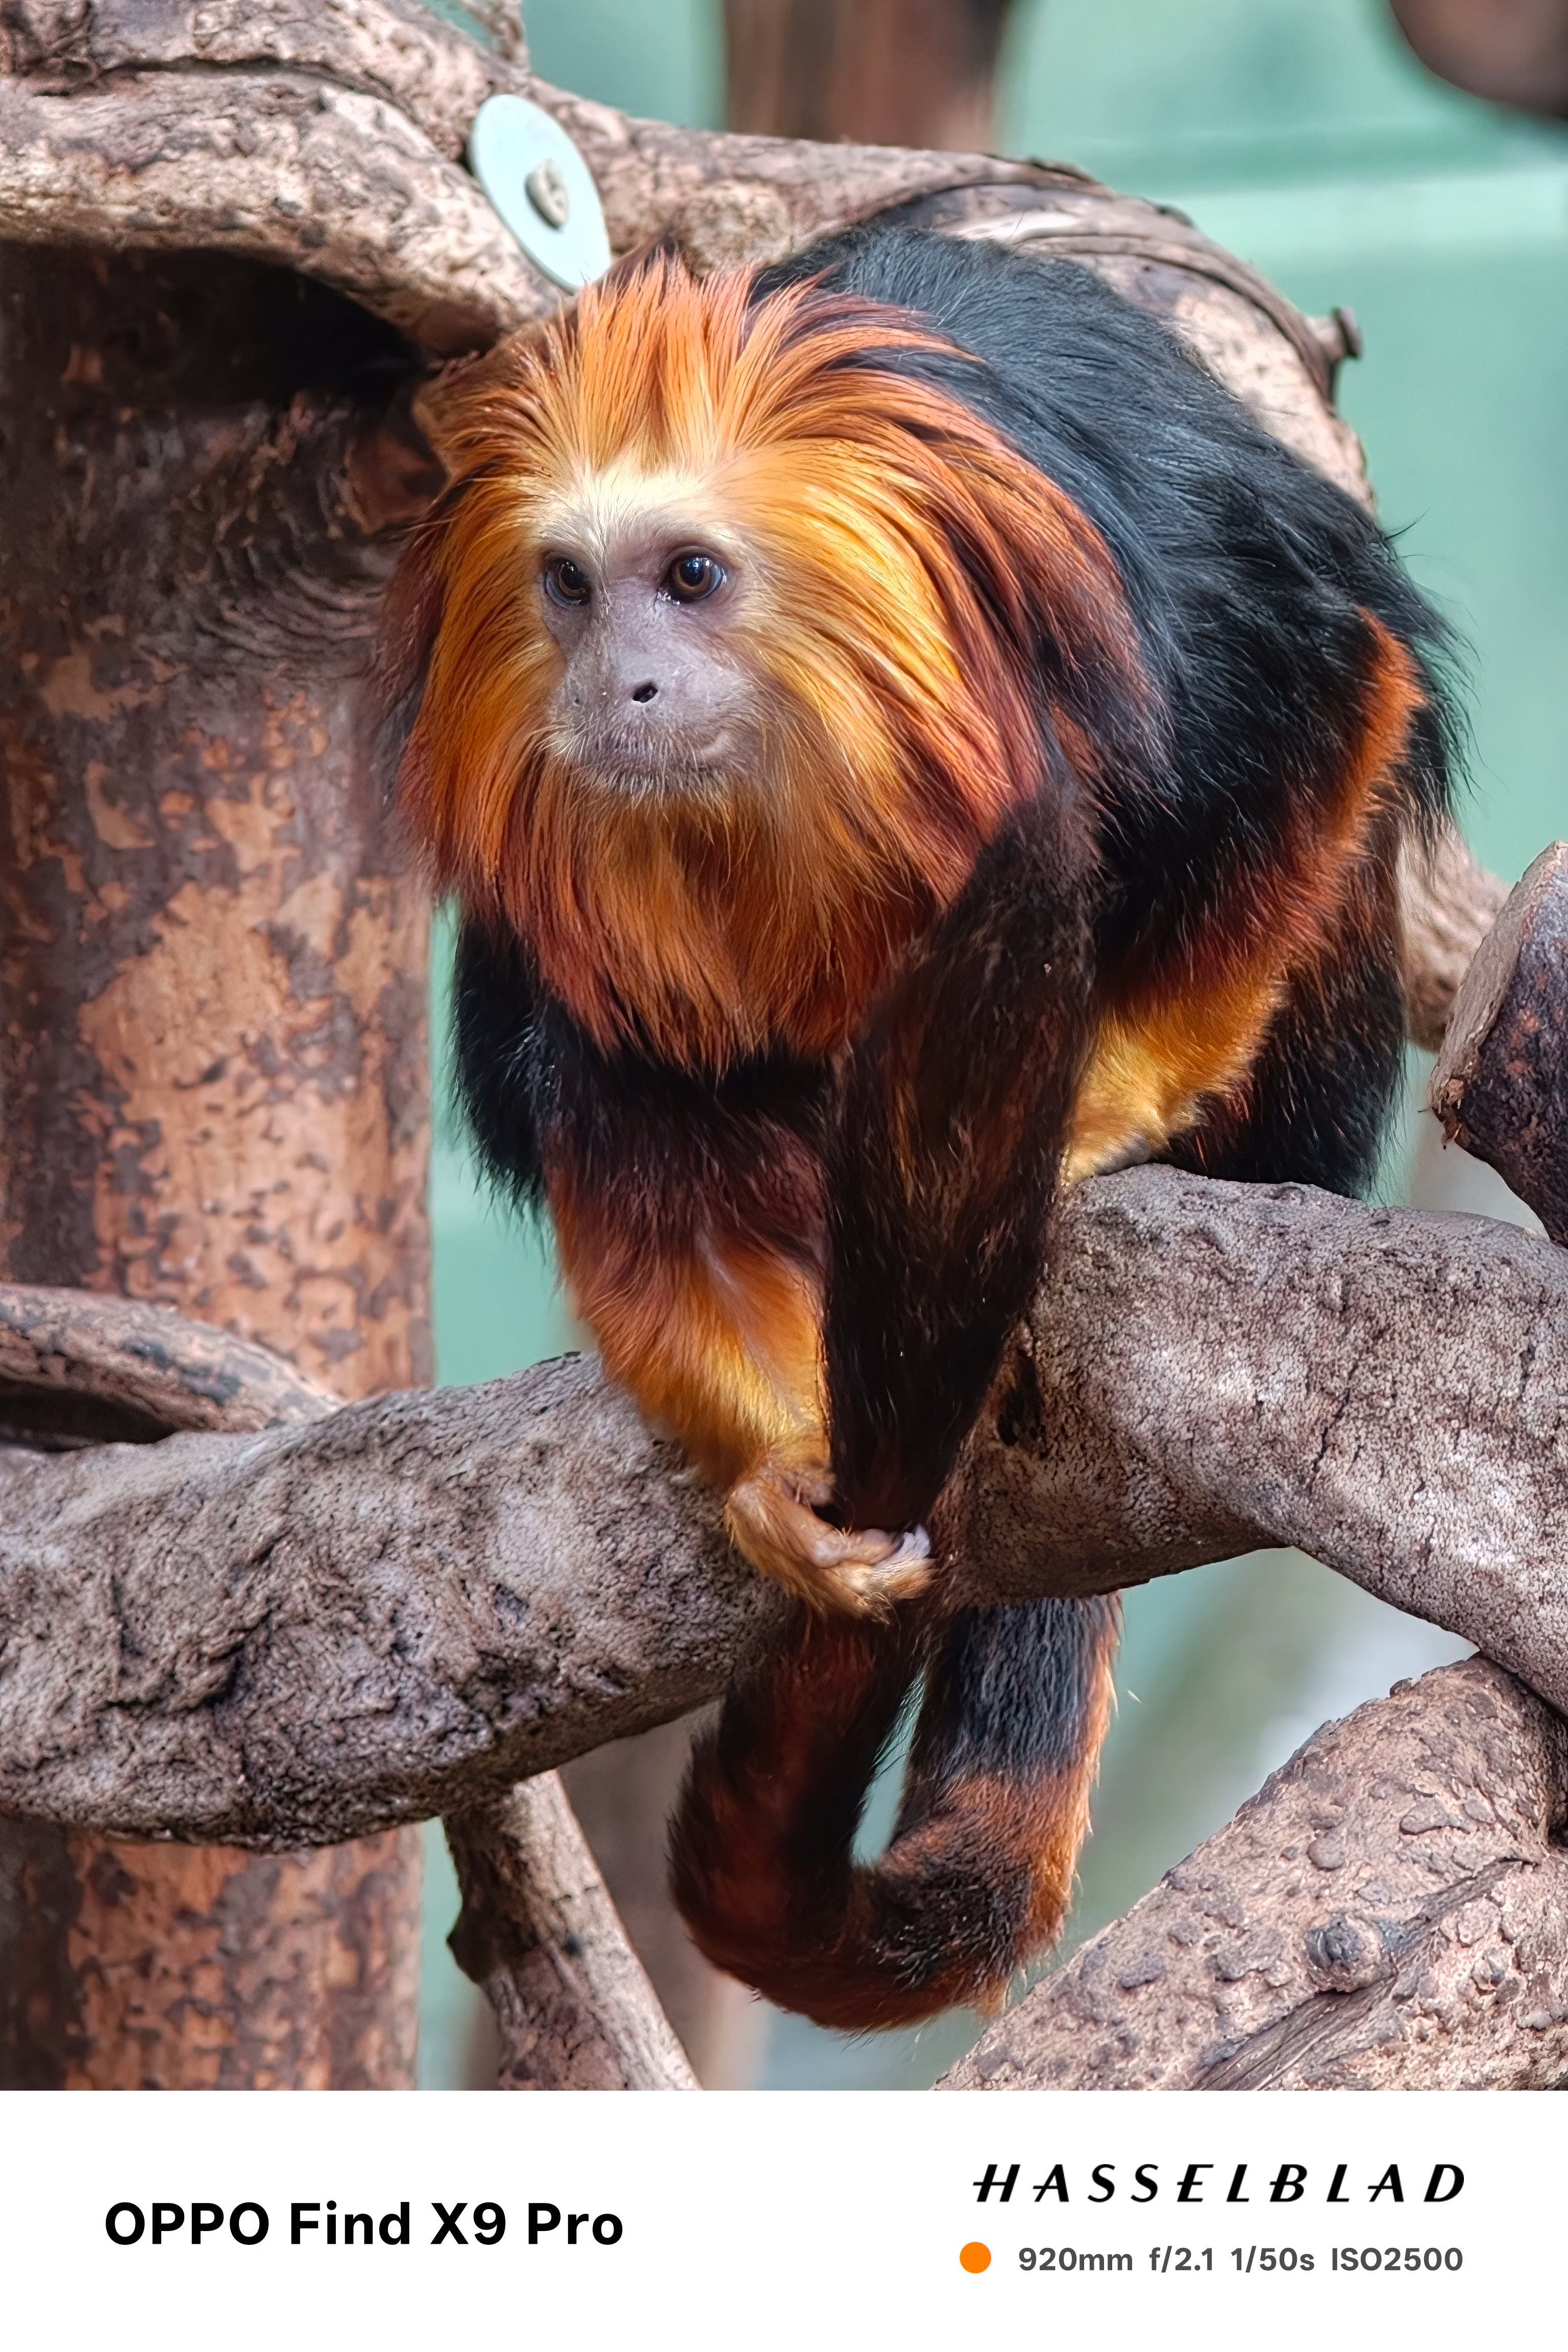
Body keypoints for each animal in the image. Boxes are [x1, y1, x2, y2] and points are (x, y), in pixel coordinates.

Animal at [374, 225, 1455, 2033]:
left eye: (689, 577)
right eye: (570, 586)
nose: (621, 687)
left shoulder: (1195, 646)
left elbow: (1326, 724)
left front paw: (1109, 1104)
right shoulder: (566, 920)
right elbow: (622, 1127)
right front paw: (780, 1481)